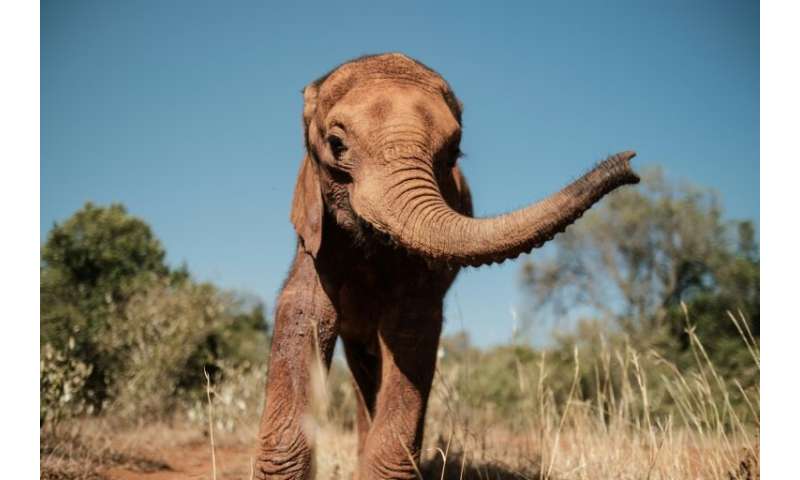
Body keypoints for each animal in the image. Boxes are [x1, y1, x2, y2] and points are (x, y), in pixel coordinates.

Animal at [256, 53, 636, 480]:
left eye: (454, 153)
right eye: (336, 145)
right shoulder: (317, 229)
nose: (630, 164)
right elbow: (305, 311)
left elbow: (412, 327)